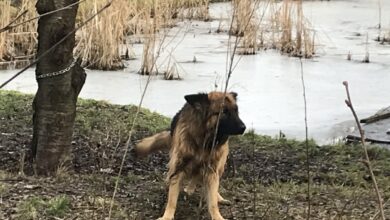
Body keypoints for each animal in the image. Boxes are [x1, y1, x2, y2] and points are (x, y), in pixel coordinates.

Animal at [133, 91, 245, 220]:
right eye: (224, 112)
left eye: (236, 111)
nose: (244, 128)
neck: (202, 140)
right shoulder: (178, 168)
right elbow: (172, 200)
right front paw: (167, 216)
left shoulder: (211, 171)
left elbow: (212, 202)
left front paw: (217, 216)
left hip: (220, 166)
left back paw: (215, 196)